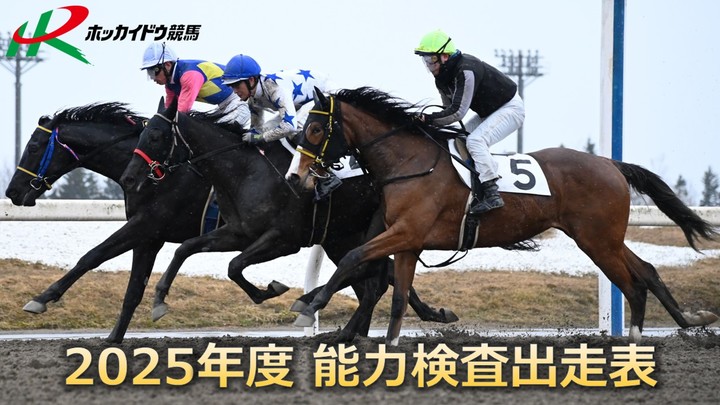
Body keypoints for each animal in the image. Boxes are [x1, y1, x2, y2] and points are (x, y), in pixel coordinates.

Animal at [5, 101, 455, 343]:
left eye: (33, 145)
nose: (13, 192)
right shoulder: (157, 235)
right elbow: (135, 285)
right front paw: (116, 337)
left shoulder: (148, 227)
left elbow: (91, 257)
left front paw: (41, 298)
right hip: (340, 236)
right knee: (377, 278)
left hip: (349, 233)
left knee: (374, 278)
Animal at [288, 86, 720, 345]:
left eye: (314, 129)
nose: (296, 177)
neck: (409, 163)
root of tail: (610, 163)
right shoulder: (408, 241)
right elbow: (394, 293)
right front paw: (389, 344)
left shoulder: (406, 233)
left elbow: (353, 257)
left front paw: (308, 305)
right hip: (604, 238)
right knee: (647, 270)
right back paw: (690, 321)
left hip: (597, 240)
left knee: (633, 284)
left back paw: (635, 342)